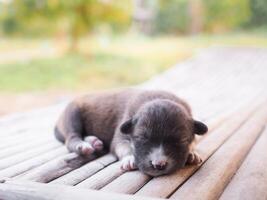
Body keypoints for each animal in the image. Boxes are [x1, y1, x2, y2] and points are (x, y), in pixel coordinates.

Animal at [55, 89, 209, 177]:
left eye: (181, 141)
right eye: (141, 138)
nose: (158, 164)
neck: (156, 97)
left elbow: (194, 142)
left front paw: (192, 153)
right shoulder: (122, 132)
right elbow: (121, 145)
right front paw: (129, 158)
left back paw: (94, 141)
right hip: (72, 114)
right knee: (72, 137)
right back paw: (83, 145)